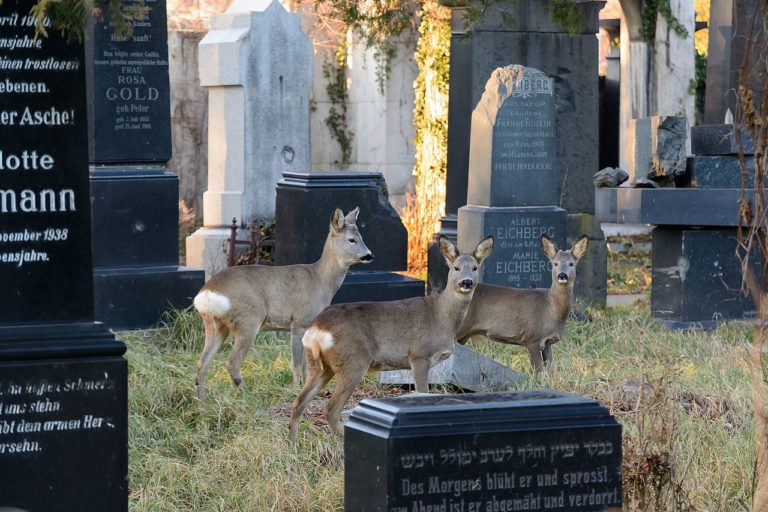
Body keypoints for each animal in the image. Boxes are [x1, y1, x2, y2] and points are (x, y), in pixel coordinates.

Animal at [192, 207, 372, 400]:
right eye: (351, 239)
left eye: (362, 236)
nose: (369, 255)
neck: (320, 280)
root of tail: (206, 293)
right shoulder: (299, 321)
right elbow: (296, 363)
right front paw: (294, 391)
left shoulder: (307, 327)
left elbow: (306, 365)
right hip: (248, 320)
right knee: (232, 363)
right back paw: (249, 397)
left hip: (216, 325)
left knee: (202, 364)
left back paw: (201, 402)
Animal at [288, 234, 492, 442]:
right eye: (456, 268)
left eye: (475, 268)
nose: (466, 282)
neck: (441, 316)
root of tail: (317, 328)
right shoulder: (419, 355)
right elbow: (423, 392)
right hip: (353, 361)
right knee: (331, 409)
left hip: (320, 365)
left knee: (299, 402)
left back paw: (293, 443)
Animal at [456, 233, 588, 372]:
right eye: (555, 264)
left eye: (571, 264)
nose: (562, 275)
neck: (551, 309)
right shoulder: (532, 338)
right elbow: (540, 372)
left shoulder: (547, 342)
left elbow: (552, 370)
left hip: (464, 335)